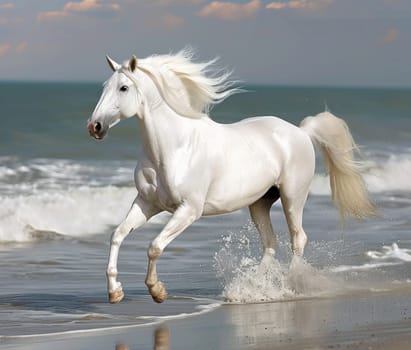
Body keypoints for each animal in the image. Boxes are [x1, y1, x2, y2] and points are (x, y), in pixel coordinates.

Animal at [87, 49, 376, 304]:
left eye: (124, 88)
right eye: (105, 86)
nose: (95, 127)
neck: (174, 148)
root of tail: (302, 131)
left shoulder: (189, 210)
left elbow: (155, 246)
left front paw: (157, 291)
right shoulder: (147, 203)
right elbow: (118, 235)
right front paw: (115, 292)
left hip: (293, 197)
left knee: (298, 238)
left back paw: (290, 284)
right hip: (259, 203)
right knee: (270, 244)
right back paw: (254, 288)